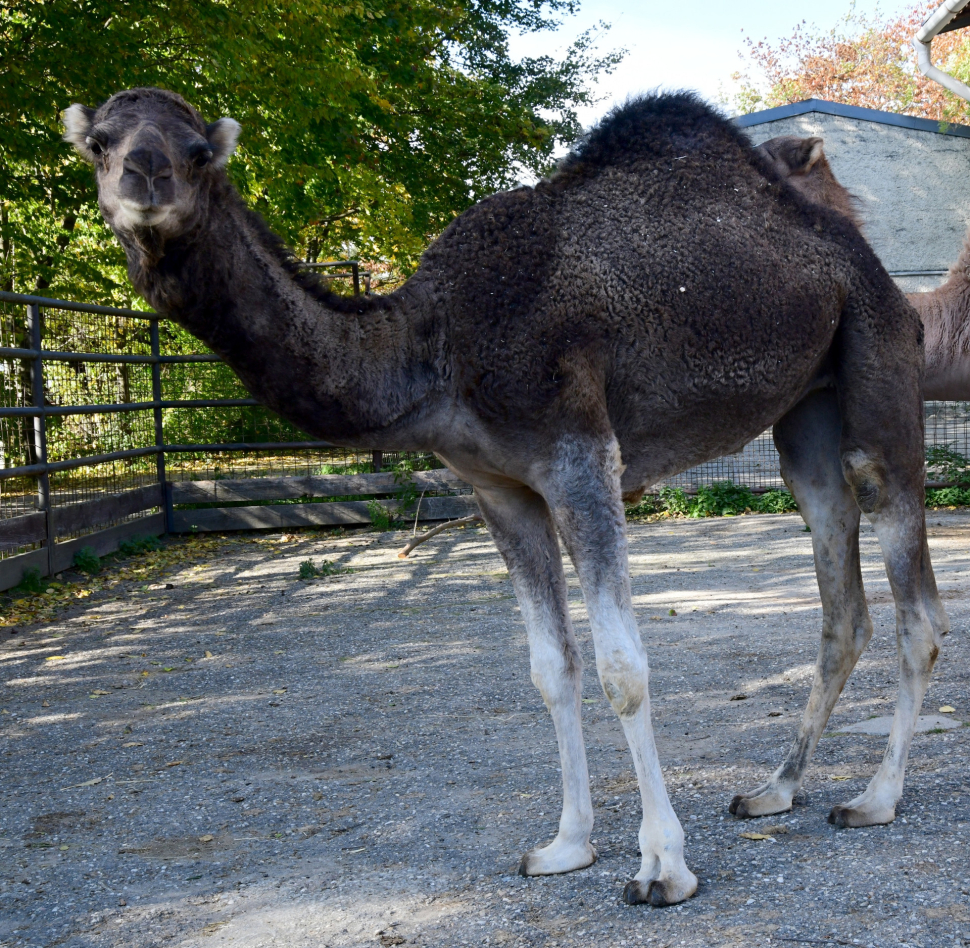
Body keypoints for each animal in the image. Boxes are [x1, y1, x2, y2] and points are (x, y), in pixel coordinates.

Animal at [62, 90, 944, 912]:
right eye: (99, 144)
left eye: (198, 150)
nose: (146, 178)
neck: (439, 344)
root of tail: (870, 263)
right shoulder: (499, 489)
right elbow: (551, 667)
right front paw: (567, 845)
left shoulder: (579, 455)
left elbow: (623, 668)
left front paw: (662, 867)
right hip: (805, 415)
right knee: (841, 596)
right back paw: (774, 789)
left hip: (879, 364)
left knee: (916, 600)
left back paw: (874, 799)